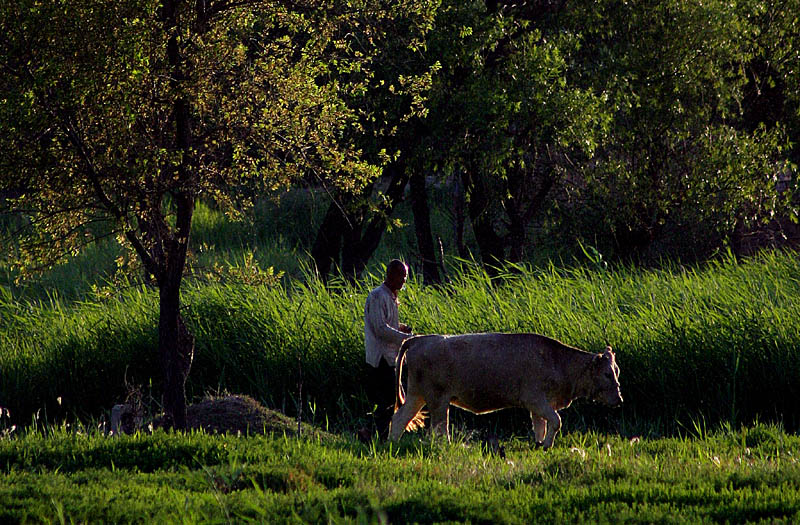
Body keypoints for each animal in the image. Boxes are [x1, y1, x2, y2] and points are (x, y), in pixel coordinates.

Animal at [390, 334, 620, 448]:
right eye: (607, 374)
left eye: (617, 371)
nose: (619, 399)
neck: (557, 361)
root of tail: (420, 338)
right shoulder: (535, 400)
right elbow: (555, 421)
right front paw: (547, 445)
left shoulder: (538, 405)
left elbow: (540, 426)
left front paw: (539, 443)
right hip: (437, 400)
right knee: (439, 429)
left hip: (416, 396)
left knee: (399, 418)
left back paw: (392, 443)